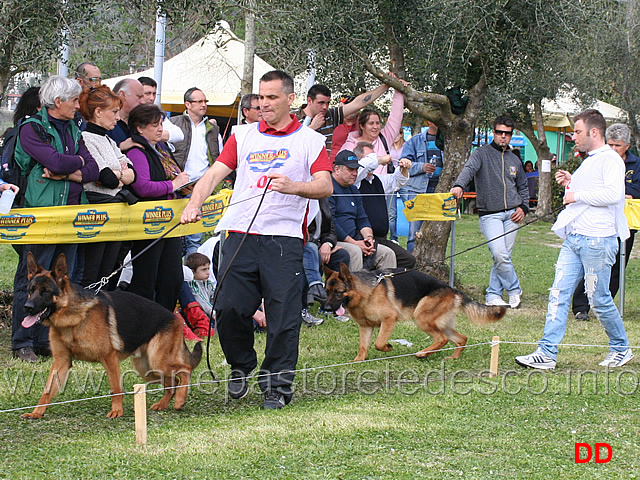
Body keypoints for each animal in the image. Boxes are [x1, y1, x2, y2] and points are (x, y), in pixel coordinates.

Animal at [21, 253, 202, 418]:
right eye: (31, 290)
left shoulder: (109, 358)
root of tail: (175, 318)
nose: (27, 307)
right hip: (147, 368)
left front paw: (116, 411)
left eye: (45, 292)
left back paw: (180, 400)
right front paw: (36, 412)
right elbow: (47, 389)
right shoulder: (61, 361)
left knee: (185, 370)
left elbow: (116, 388)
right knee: (173, 382)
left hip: (157, 361)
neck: (73, 318)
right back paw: (164, 404)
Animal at [322, 264, 508, 362]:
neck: (366, 292)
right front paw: (358, 361)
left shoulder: (389, 319)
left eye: (338, 292)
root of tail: (453, 290)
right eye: (327, 292)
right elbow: (363, 346)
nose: (326, 308)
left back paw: (424, 353)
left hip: (421, 318)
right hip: (440, 323)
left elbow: (379, 343)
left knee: (442, 339)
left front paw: (388, 347)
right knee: (461, 338)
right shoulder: (365, 327)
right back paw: (452, 357)